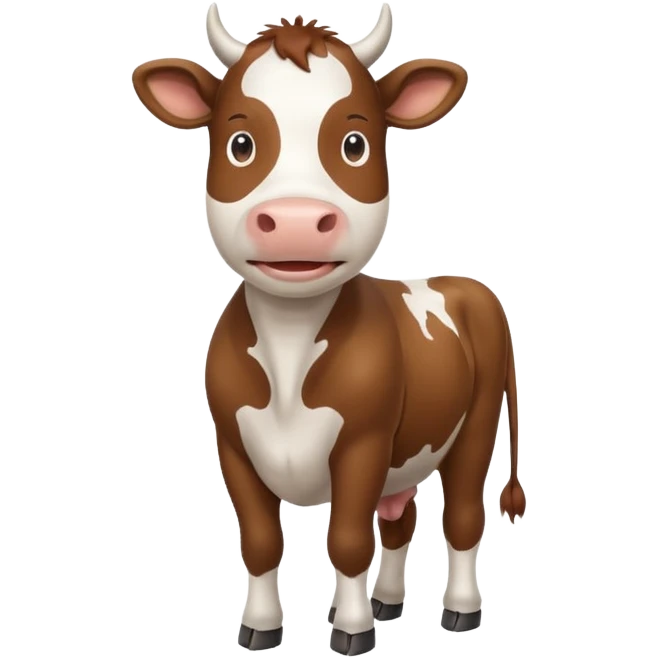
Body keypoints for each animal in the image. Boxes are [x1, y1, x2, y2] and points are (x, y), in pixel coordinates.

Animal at [131, 3, 526, 654]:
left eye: (355, 143)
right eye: (240, 144)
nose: (295, 220)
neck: (292, 342)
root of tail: (466, 284)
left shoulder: (363, 443)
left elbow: (346, 541)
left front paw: (353, 629)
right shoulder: (233, 442)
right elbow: (261, 542)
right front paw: (261, 627)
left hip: (475, 426)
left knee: (463, 518)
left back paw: (459, 610)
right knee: (401, 519)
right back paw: (389, 600)